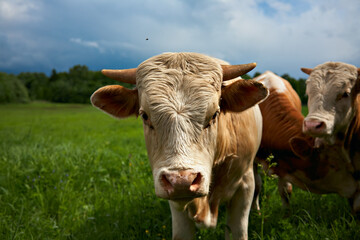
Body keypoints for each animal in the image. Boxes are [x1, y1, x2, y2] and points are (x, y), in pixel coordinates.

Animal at [252, 71, 358, 212]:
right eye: (333, 165)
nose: (356, 188)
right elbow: (256, 186)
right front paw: (256, 211)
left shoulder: (284, 160)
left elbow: (286, 190)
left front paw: (286, 214)